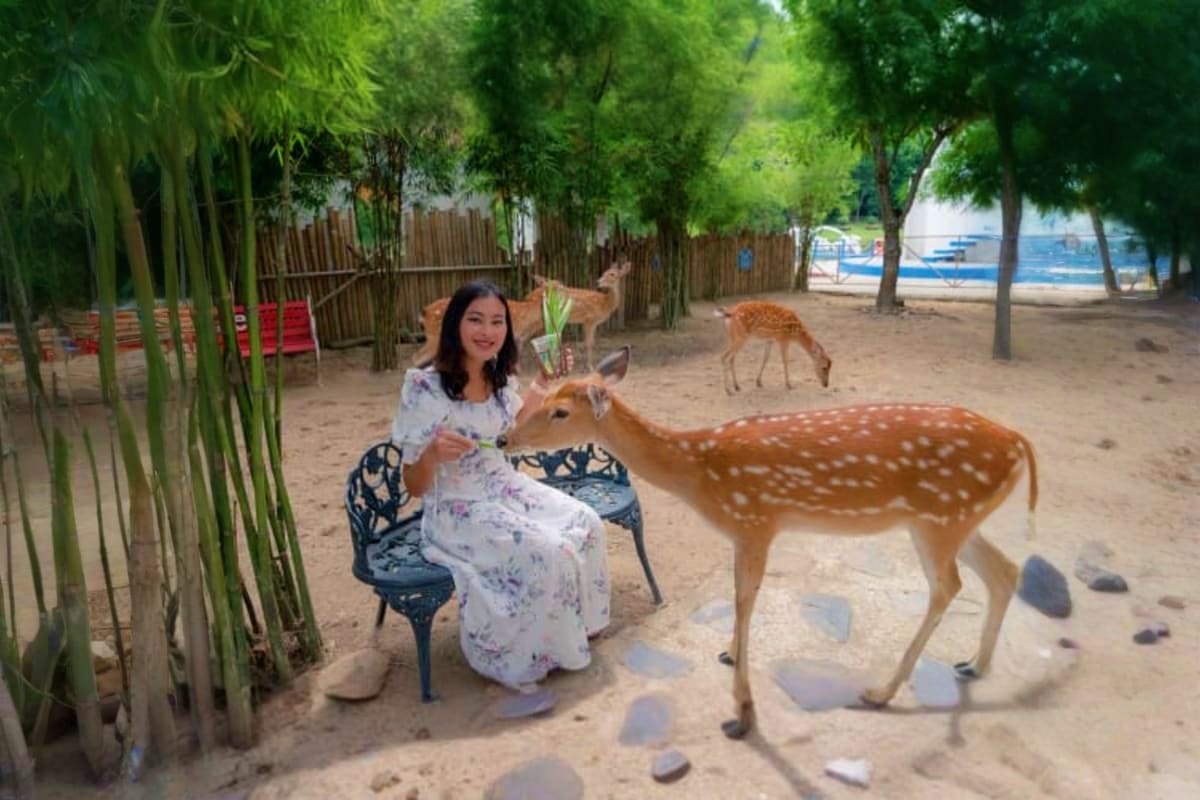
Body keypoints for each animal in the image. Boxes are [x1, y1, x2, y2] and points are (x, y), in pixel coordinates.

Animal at [500, 346, 1038, 740]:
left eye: (560, 411)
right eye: (543, 396)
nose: (505, 438)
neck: (702, 473)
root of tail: (1018, 442)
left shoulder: (756, 521)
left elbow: (744, 600)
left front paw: (741, 713)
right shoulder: (743, 533)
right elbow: (739, 598)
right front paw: (728, 654)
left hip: (938, 517)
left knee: (949, 585)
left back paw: (881, 691)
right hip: (958, 519)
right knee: (1005, 570)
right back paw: (973, 665)